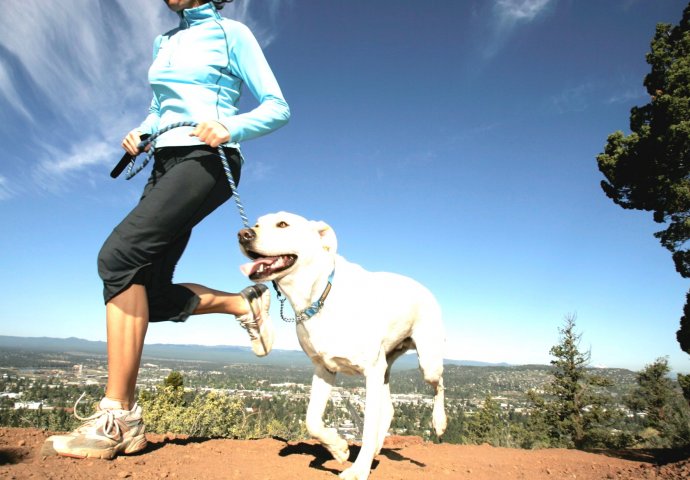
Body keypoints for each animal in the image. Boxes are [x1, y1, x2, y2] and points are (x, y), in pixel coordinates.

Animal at [238, 214, 446, 480]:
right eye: (256, 223)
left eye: (283, 224)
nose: (243, 234)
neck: (319, 296)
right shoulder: (324, 368)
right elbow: (312, 420)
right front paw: (338, 449)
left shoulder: (371, 371)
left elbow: (367, 428)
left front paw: (358, 470)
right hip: (386, 368)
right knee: (389, 409)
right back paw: (377, 448)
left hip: (426, 362)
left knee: (439, 384)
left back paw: (439, 422)